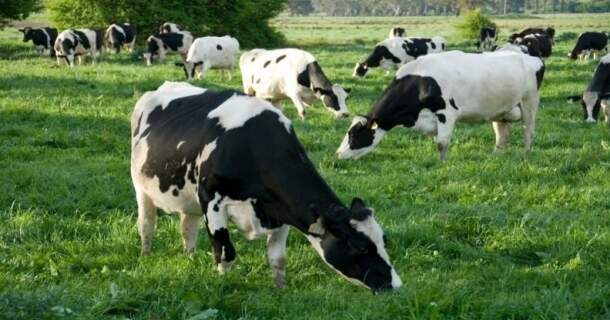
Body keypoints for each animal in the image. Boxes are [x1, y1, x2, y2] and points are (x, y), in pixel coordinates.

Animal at [131, 81, 402, 292]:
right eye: (359, 248)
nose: (396, 286)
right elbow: (225, 252)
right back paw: (145, 255)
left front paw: (281, 289)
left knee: (187, 228)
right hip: (140, 188)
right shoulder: (211, 199)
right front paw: (223, 284)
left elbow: (277, 258)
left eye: (383, 241)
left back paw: (189, 257)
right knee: (146, 224)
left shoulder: (282, 210)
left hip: (188, 199)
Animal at [338, 50, 540, 161]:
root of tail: (531, 58)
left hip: (529, 102)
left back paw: (527, 154)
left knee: (528, 130)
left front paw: (442, 163)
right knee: (502, 134)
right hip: (500, 111)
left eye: (354, 134)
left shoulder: (446, 112)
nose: (338, 154)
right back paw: (496, 156)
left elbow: (442, 143)